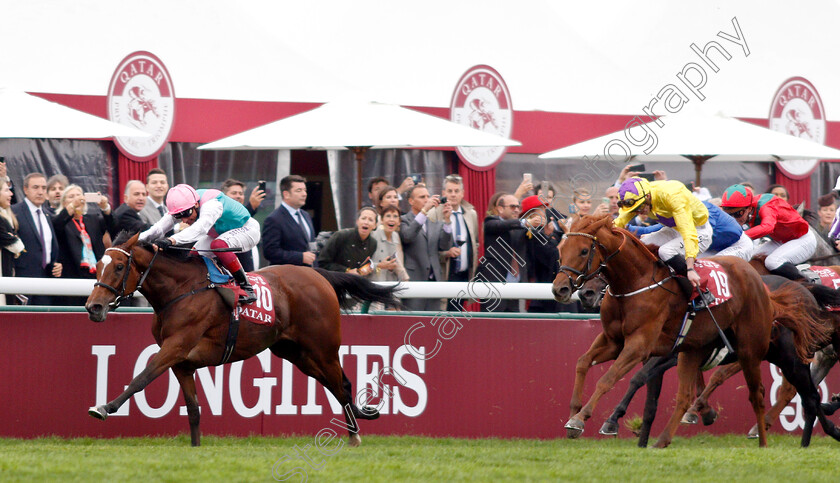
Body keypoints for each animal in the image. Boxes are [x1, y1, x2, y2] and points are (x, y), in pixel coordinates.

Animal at [84, 233, 400, 448]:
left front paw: (104, 408)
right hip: (297, 354)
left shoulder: (176, 347)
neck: (182, 290)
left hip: (322, 348)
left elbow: (142, 378)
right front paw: (195, 448)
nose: (93, 307)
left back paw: (354, 437)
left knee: (341, 385)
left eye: (119, 267)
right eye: (98, 264)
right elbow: (194, 409)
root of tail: (319, 275)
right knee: (336, 385)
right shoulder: (181, 363)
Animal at [552, 216, 828, 450]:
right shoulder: (613, 341)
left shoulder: (642, 346)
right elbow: (582, 363)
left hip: (770, 353)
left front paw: (584, 419)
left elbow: (612, 379)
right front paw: (574, 411)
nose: (562, 290)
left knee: (786, 391)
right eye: (560, 249)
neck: (637, 283)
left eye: (584, 251)